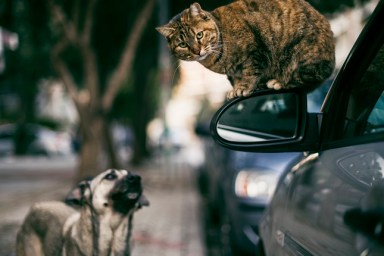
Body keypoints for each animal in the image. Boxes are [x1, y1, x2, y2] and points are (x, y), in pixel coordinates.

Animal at [156, 0, 336, 99]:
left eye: (199, 35)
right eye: (183, 44)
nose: (197, 51)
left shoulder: (254, 52)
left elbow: (250, 72)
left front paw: (243, 88)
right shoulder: (232, 72)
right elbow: (235, 79)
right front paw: (235, 89)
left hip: (301, 55)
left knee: (311, 78)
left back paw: (279, 82)